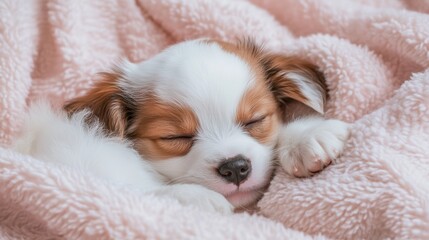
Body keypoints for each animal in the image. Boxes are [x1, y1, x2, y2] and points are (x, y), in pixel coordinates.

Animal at [13, 39, 350, 214]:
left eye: (255, 120)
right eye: (175, 136)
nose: (235, 167)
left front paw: (307, 136)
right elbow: (134, 191)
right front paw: (195, 198)